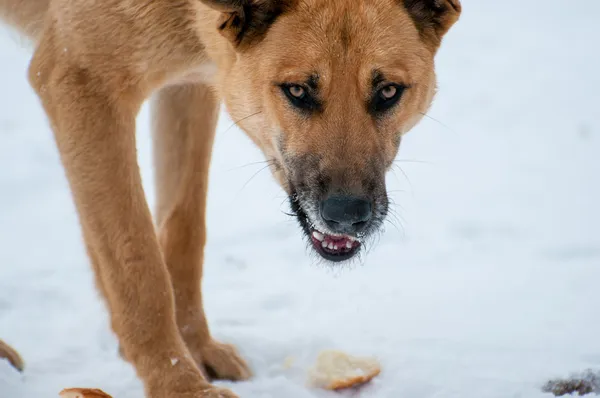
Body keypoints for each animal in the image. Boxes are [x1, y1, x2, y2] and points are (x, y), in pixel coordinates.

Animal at [0, 0, 462, 396]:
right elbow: (137, 264)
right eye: (297, 91)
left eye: (388, 92)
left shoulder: (190, 84)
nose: (347, 215)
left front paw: (195, 350)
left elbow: (182, 231)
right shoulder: (80, 83)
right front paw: (180, 387)